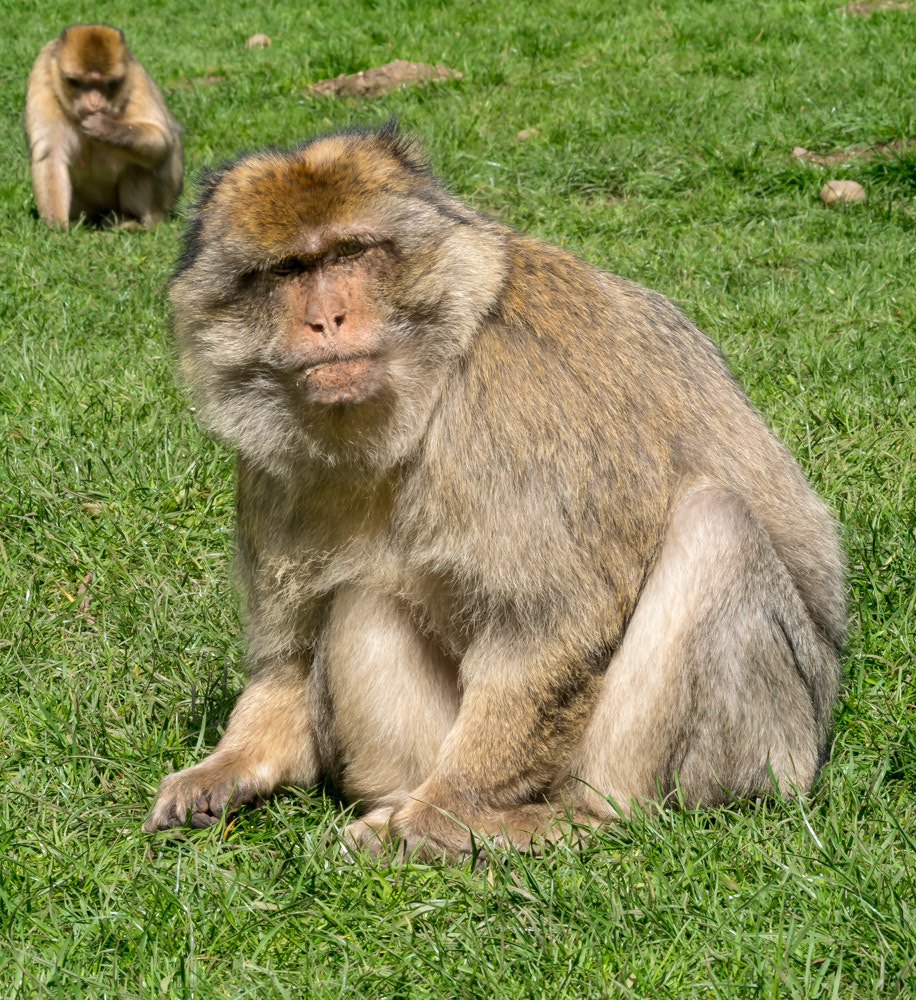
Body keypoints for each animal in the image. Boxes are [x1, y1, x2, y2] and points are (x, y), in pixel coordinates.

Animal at [24, 24, 182, 229]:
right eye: (76, 82)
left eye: (109, 84)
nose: (94, 102)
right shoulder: (42, 78)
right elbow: (51, 154)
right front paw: (56, 228)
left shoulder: (135, 77)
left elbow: (161, 140)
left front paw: (105, 129)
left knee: (141, 162)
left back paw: (133, 222)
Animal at [143, 124, 846, 861]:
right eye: (288, 271)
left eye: (351, 253)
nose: (326, 318)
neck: (418, 400)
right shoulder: (268, 469)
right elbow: (290, 653)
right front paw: (233, 764)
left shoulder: (516, 399)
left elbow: (552, 622)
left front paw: (441, 812)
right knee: (360, 591)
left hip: (772, 745)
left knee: (717, 524)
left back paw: (554, 818)